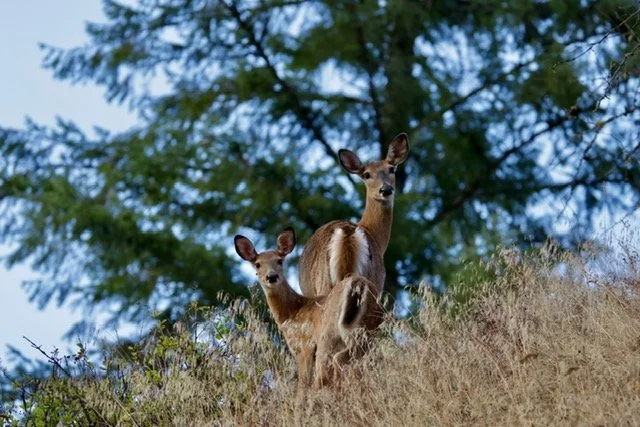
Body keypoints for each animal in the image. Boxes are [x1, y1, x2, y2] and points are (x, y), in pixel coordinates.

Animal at [234, 227, 382, 389]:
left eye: (279, 260)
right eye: (258, 264)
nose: (271, 276)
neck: (292, 312)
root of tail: (358, 284)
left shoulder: (304, 346)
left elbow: (303, 384)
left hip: (328, 336)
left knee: (326, 372)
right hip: (368, 330)